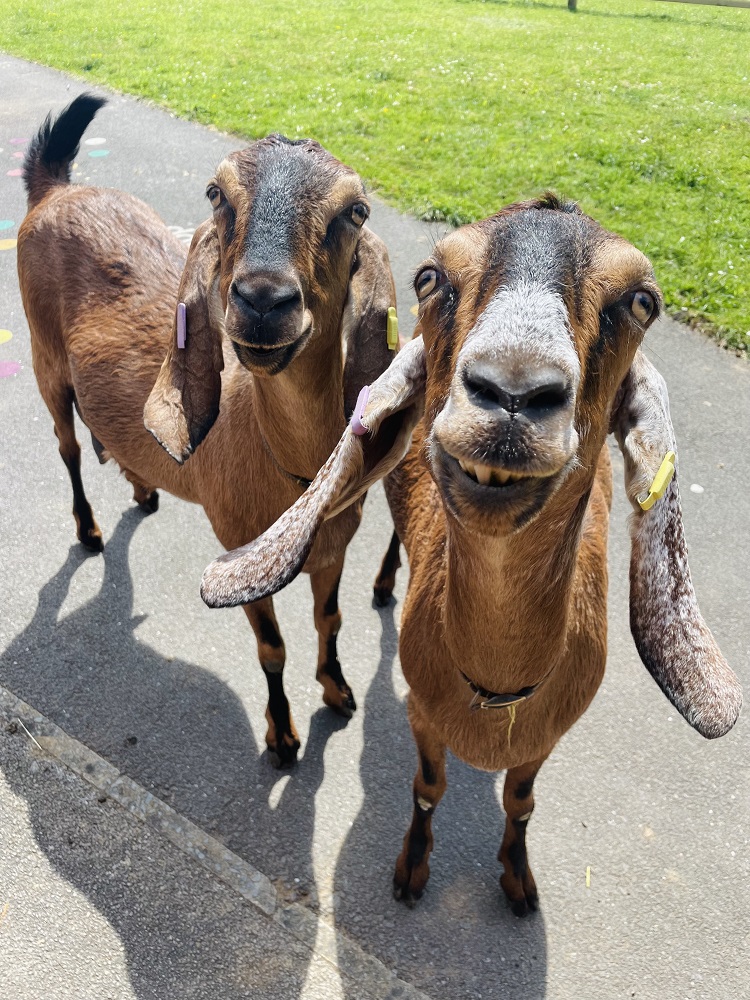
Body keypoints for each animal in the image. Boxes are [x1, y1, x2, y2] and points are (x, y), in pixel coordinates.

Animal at [17, 94, 396, 764]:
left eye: (355, 210)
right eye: (216, 194)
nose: (263, 300)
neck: (291, 471)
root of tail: (56, 191)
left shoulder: (335, 549)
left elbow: (330, 620)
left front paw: (338, 690)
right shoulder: (236, 545)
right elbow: (272, 647)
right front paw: (282, 735)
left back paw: (144, 486)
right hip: (45, 363)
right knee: (67, 446)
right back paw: (88, 529)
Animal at [200, 195, 748, 916]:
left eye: (642, 301)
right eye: (430, 279)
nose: (512, 391)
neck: (497, 685)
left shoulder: (547, 740)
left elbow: (521, 801)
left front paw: (518, 878)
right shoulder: (422, 715)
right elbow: (428, 787)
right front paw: (411, 870)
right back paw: (384, 583)